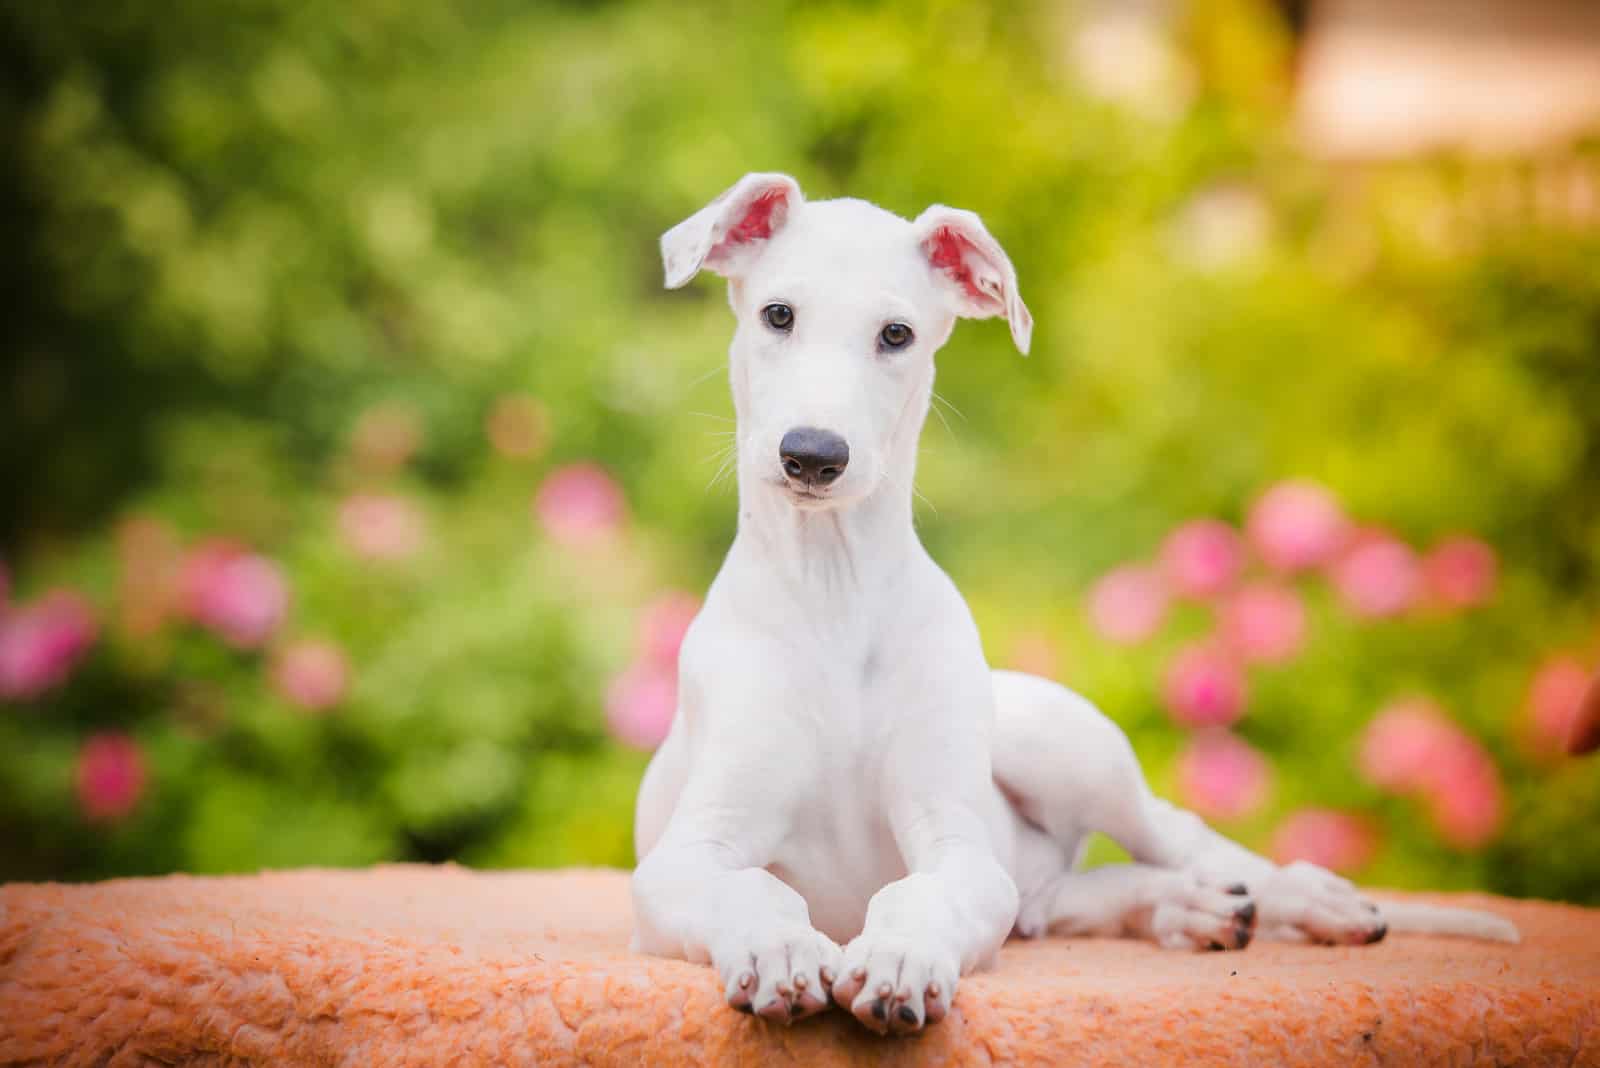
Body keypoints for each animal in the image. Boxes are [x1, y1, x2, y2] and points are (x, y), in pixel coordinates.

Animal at [630, 173, 1516, 1036]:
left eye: (897, 335)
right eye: (777, 314)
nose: (813, 455)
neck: (833, 589)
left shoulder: (959, 845)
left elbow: (921, 893)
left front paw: (900, 959)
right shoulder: (686, 854)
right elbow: (752, 887)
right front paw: (778, 949)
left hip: (1069, 748)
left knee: (1184, 837)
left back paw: (1309, 899)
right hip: (1041, 867)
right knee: (1077, 896)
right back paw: (1189, 911)